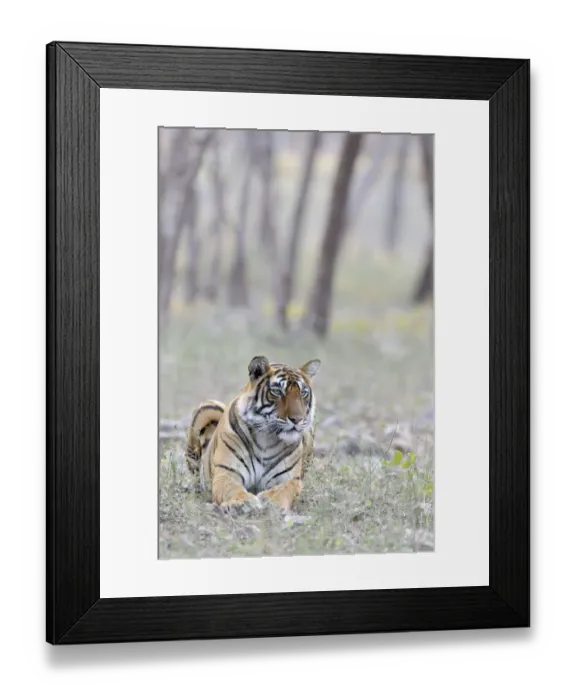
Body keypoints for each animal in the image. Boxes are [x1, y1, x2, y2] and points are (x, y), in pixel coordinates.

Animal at [185, 355, 321, 513]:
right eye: (277, 392)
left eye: (303, 393)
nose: (297, 419)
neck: (267, 438)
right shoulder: (227, 473)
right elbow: (233, 489)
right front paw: (242, 503)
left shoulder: (291, 480)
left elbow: (282, 491)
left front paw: (270, 502)